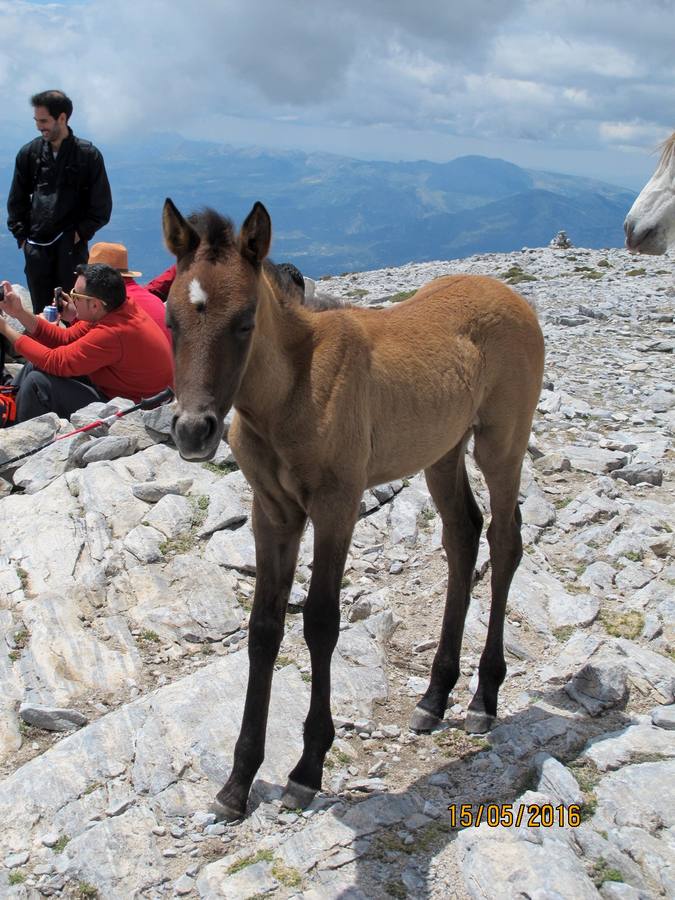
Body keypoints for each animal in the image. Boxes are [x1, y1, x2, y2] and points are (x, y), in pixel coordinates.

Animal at [166, 200, 548, 820]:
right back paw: (434, 697)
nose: (193, 431)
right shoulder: (273, 512)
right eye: (172, 319)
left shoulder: (336, 506)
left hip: (502, 443)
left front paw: (306, 769)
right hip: (442, 451)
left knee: (504, 541)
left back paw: (484, 697)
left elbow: (321, 622)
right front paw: (237, 782)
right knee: (463, 536)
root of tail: (513, 297)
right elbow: (264, 628)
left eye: (245, 320)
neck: (289, 393)